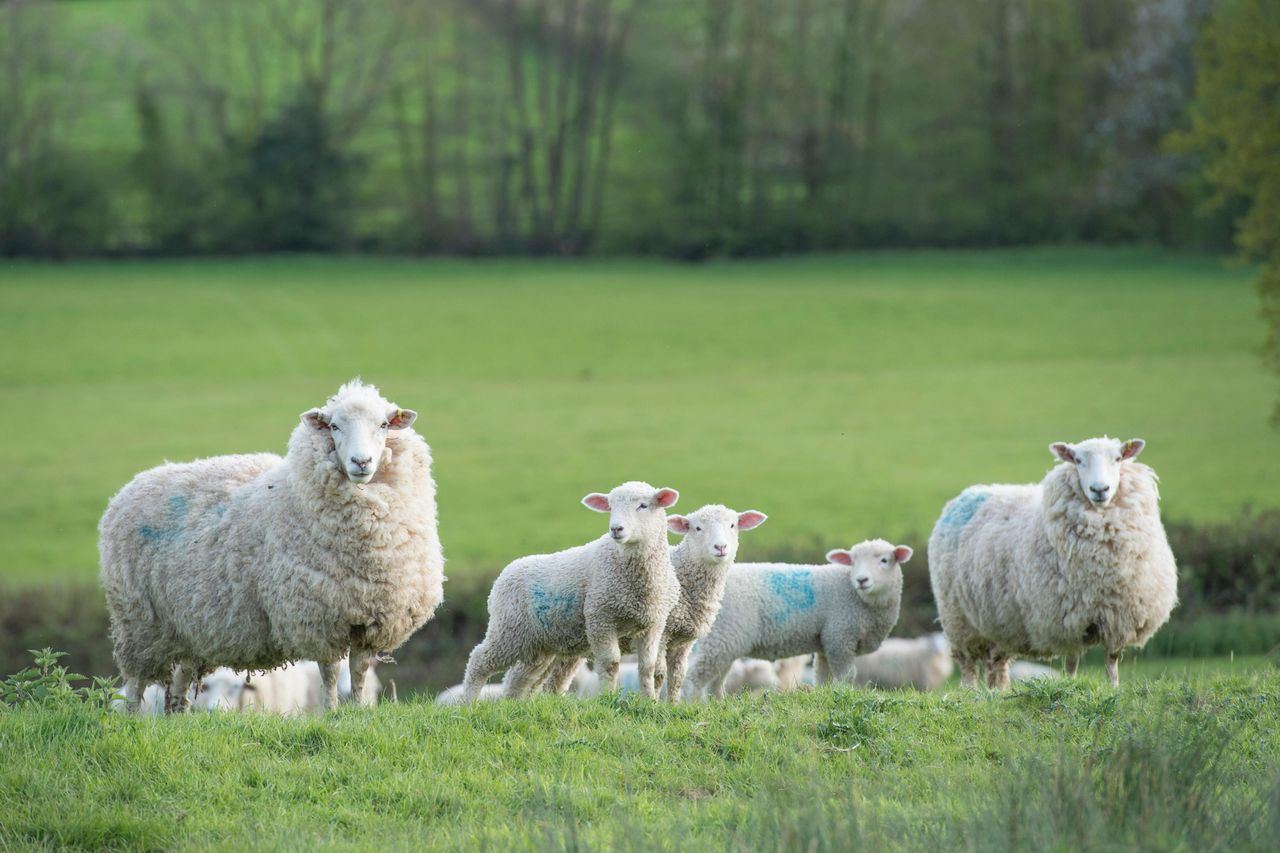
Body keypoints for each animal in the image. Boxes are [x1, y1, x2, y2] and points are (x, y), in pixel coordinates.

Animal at [99, 379, 444, 712]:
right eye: (334, 426)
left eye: (384, 425)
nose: (362, 461)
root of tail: (131, 486)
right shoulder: (316, 618)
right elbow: (331, 672)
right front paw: (332, 712)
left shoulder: (369, 619)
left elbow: (358, 670)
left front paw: (359, 711)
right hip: (138, 624)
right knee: (135, 685)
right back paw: (132, 719)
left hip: (186, 631)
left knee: (178, 689)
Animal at [460, 482, 681, 701]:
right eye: (610, 507)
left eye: (643, 505)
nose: (616, 529)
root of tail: (501, 577)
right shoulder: (600, 617)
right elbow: (610, 662)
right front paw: (607, 698)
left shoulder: (653, 625)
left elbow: (648, 667)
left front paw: (649, 701)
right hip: (508, 630)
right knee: (479, 661)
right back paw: (467, 702)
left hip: (537, 644)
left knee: (519, 679)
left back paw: (513, 704)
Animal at [535, 504, 768, 703]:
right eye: (697, 528)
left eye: (733, 525)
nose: (720, 547)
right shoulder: (663, 632)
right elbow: (658, 673)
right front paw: (653, 703)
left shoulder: (683, 641)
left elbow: (678, 676)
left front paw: (673, 706)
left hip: (568, 642)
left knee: (554, 680)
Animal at [683, 539, 911, 700]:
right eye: (853, 562)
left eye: (884, 560)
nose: (862, 580)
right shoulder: (840, 637)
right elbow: (846, 676)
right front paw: (844, 695)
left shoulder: (827, 642)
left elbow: (822, 676)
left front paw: (826, 696)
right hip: (724, 636)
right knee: (695, 677)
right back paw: (692, 705)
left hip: (725, 640)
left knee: (715, 680)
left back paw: (717, 705)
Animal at [927, 436, 1177, 689]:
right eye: (1078, 460)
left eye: (1117, 458)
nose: (1099, 490)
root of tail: (970, 492)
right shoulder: (1067, 619)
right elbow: (1072, 662)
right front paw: (1069, 685)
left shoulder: (1118, 619)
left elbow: (1112, 660)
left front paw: (1114, 688)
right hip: (958, 619)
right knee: (968, 664)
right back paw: (971, 690)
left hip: (998, 623)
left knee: (996, 664)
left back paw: (997, 692)